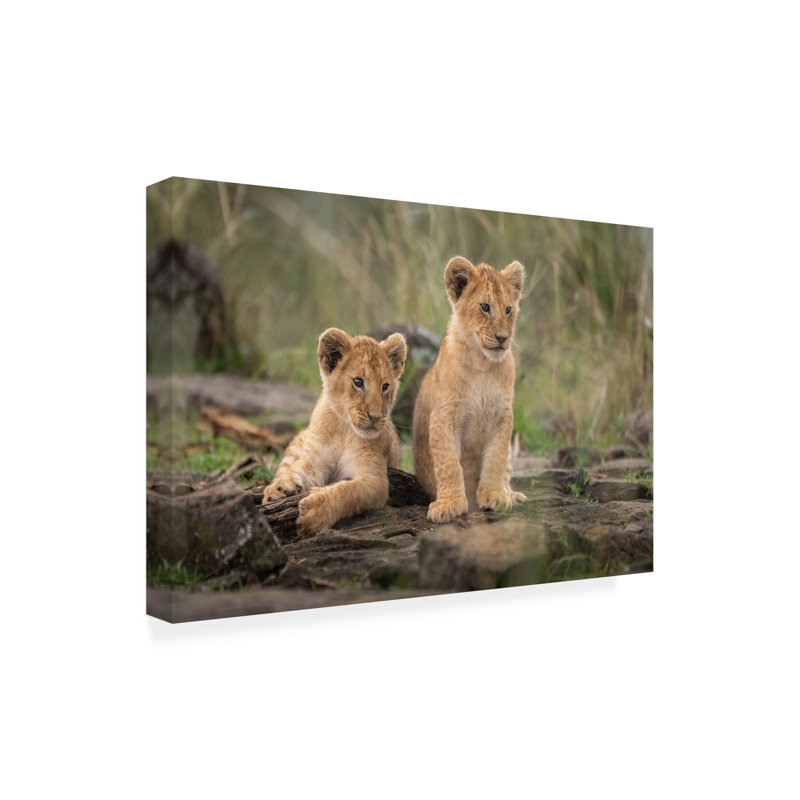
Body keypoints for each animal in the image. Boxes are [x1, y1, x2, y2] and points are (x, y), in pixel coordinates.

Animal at [262, 328, 407, 535]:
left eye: (385, 386)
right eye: (358, 382)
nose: (376, 416)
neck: (344, 429)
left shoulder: (376, 480)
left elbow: (350, 491)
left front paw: (315, 513)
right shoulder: (316, 463)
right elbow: (301, 472)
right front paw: (281, 489)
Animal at [413, 256, 526, 523]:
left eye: (508, 309)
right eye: (485, 307)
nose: (502, 338)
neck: (482, 365)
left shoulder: (502, 415)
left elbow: (496, 458)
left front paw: (496, 496)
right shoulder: (443, 416)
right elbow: (448, 463)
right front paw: (449, 504)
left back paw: (512, 494)